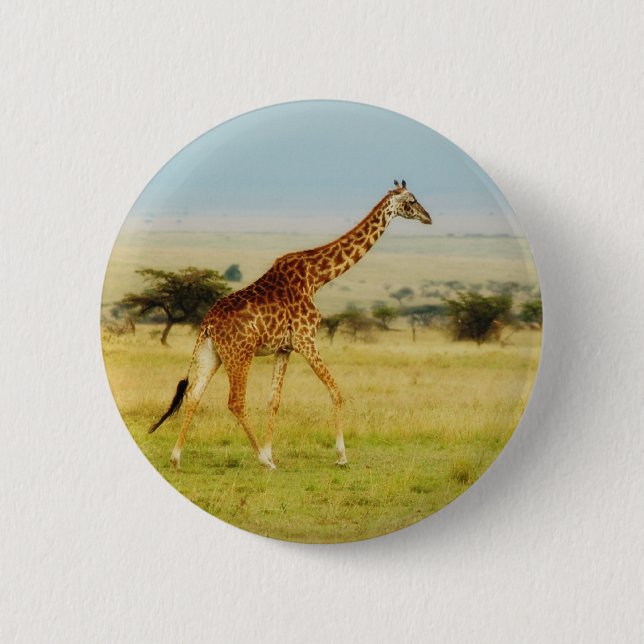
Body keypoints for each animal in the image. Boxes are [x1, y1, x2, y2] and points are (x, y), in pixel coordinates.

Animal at [149, 180, 432, 470]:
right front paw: (340, 456)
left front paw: (271, 450)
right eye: (411, 200)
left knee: (194, 395)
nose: (428, 218)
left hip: (212, 354)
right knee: (235, 402)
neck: (317, 277)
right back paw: (263, 462)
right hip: (240, 355)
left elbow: (273, 400)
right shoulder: (306, 340)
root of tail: (207, 324)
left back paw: (176, 458)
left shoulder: (284, 348)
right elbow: (335, 390)